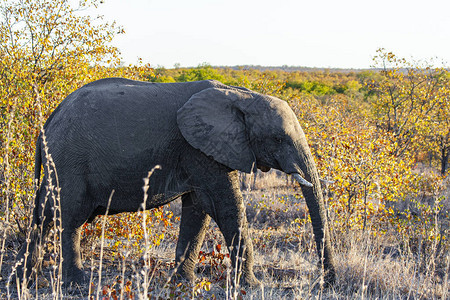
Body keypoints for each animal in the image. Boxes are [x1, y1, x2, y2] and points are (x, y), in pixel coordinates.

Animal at [14, 78, 334, 288]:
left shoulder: (200, 152)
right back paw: (77, 284)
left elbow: (198, 211)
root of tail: (48, 121)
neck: (242, 96)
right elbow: (226, 207)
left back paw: (24, 279)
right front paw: (253, 286)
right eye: (278, 139)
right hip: (70, 161)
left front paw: (183, 282)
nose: (327, 282)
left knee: (44, 214)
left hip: (59, 163)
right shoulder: (200, 150)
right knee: (69, 218)